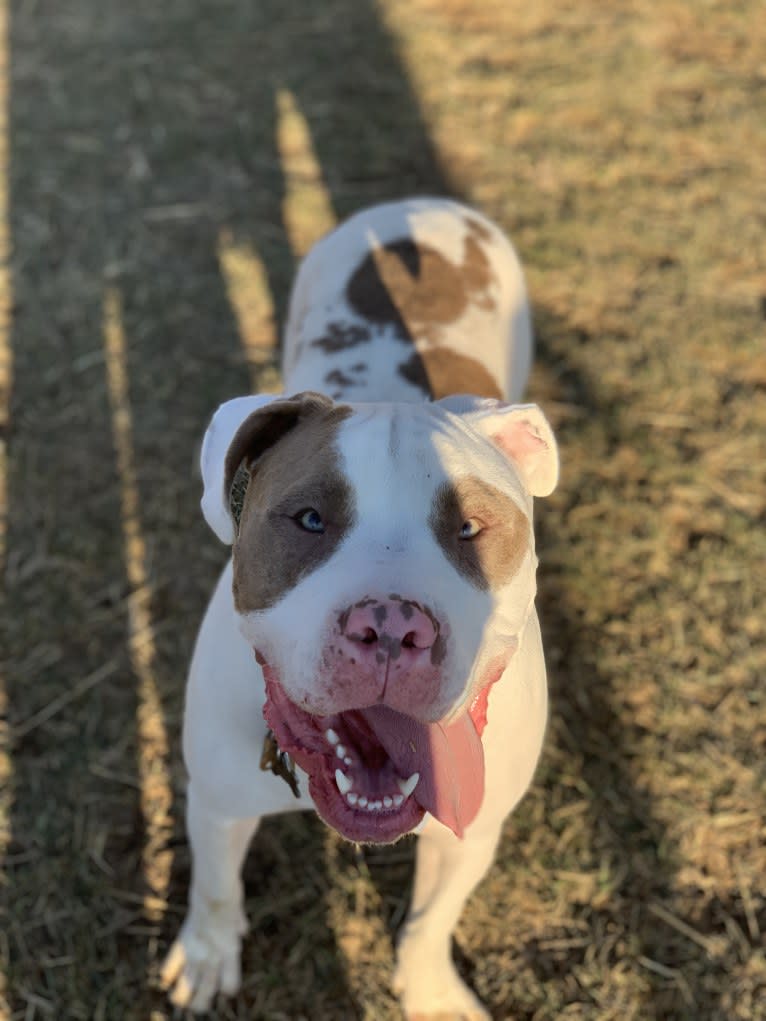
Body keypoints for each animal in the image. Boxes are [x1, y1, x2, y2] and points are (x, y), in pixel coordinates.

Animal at [160, 195, 559, 1016]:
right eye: (310, 519)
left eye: (471, 527)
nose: (392, 625)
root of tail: (422, 204)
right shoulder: (216, 798)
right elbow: (215, 889)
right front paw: (210, 956)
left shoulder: (474, 830)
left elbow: (434, 917)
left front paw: (431, 990)